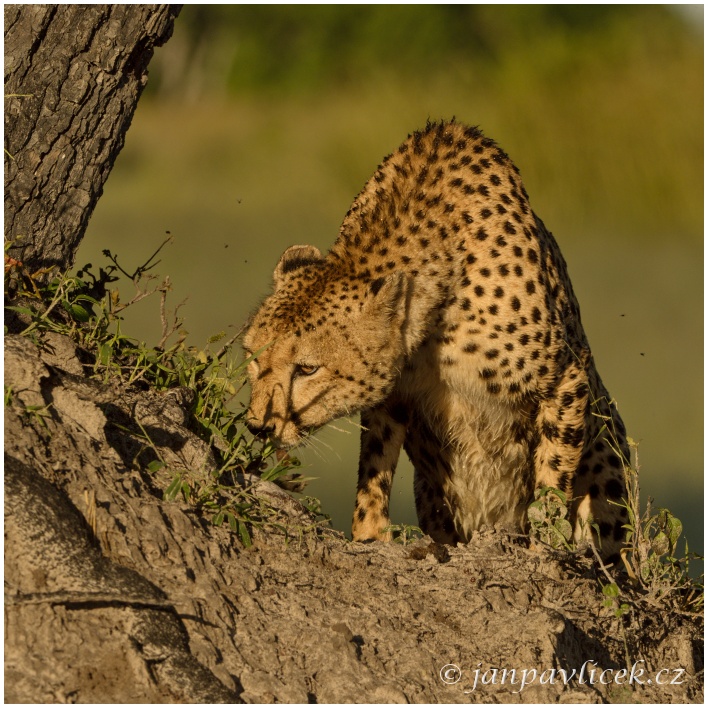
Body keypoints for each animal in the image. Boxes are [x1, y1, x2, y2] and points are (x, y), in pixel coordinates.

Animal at [243, 121, 632, 564]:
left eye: (307, 368)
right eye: (253, 359)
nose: (257, 426)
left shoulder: (567, 377)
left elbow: (552, 472)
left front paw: (541, 547)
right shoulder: (392, 395)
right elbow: (374, 467)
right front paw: (370, 536)